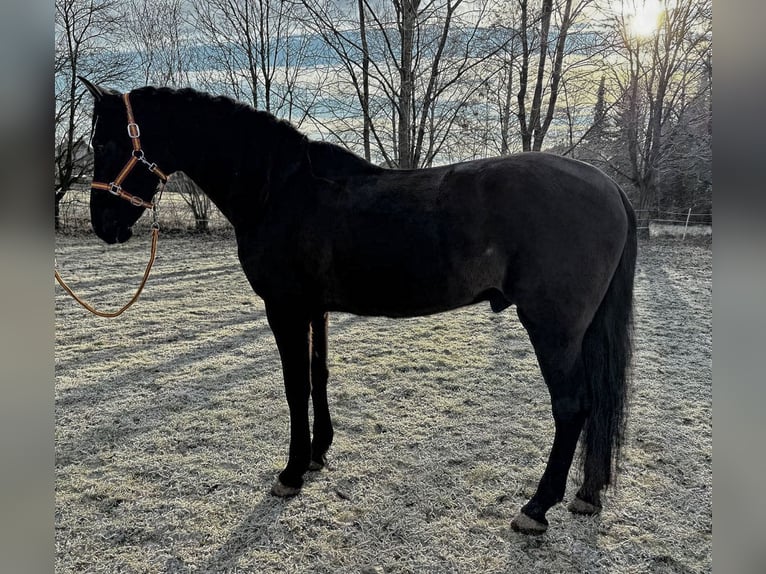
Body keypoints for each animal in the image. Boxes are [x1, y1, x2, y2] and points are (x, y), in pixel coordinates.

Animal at [79, 79, 640, 536]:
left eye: (104, 143)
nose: (104, 224)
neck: (279, 188)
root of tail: (609, 185)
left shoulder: (285, 308)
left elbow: (295, 385)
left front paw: (291, 472)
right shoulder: (316, 308)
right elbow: (319, 375)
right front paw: (319, 453)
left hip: (553, 327)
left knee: (571, 407)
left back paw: (537, 508)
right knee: (595, 403)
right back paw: (587, 496)